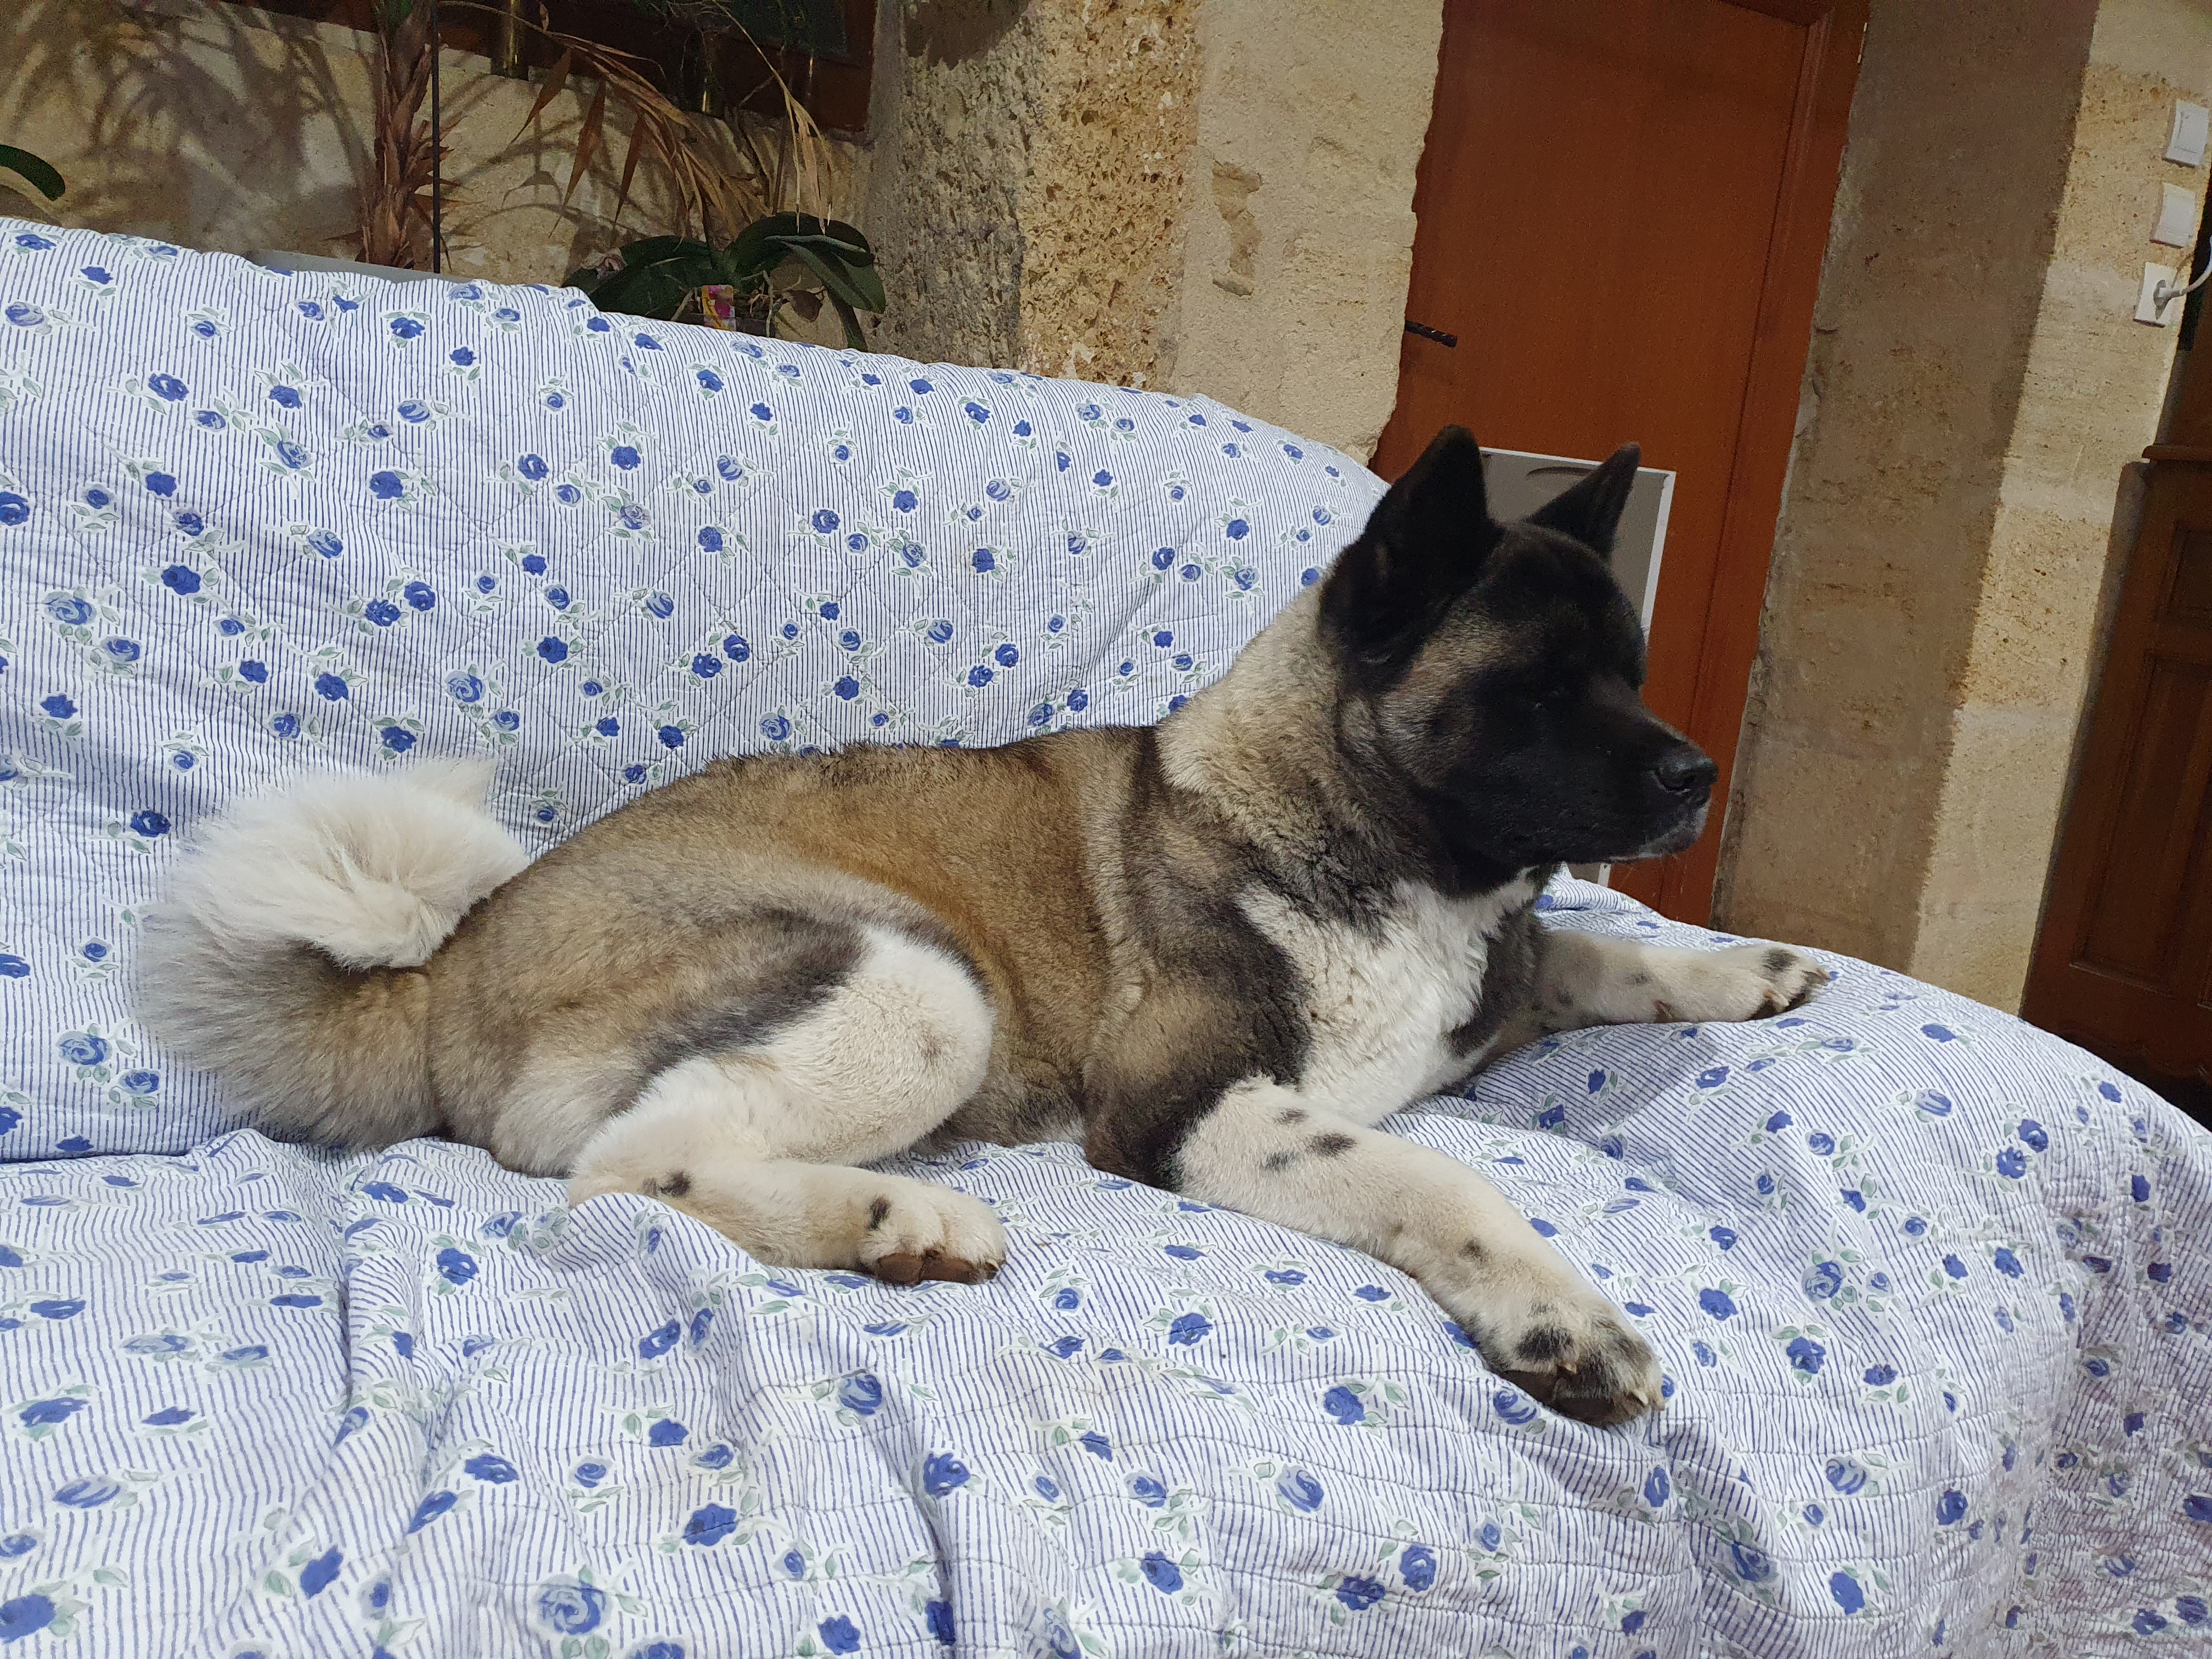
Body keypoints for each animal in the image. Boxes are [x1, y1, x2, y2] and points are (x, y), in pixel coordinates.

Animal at [138, 426, 1824, 1426]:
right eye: (1536, 689)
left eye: (1630, 670)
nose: (1696, 773)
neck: (1364, 827)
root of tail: (448, 961)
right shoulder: (1190, 1106)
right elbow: (1437, 1176)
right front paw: (1561, 1317)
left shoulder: (1499, 974)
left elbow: (1589, 951)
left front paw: (1750, 965)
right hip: (919, 984)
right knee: (633, 1170)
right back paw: (895, 1221)